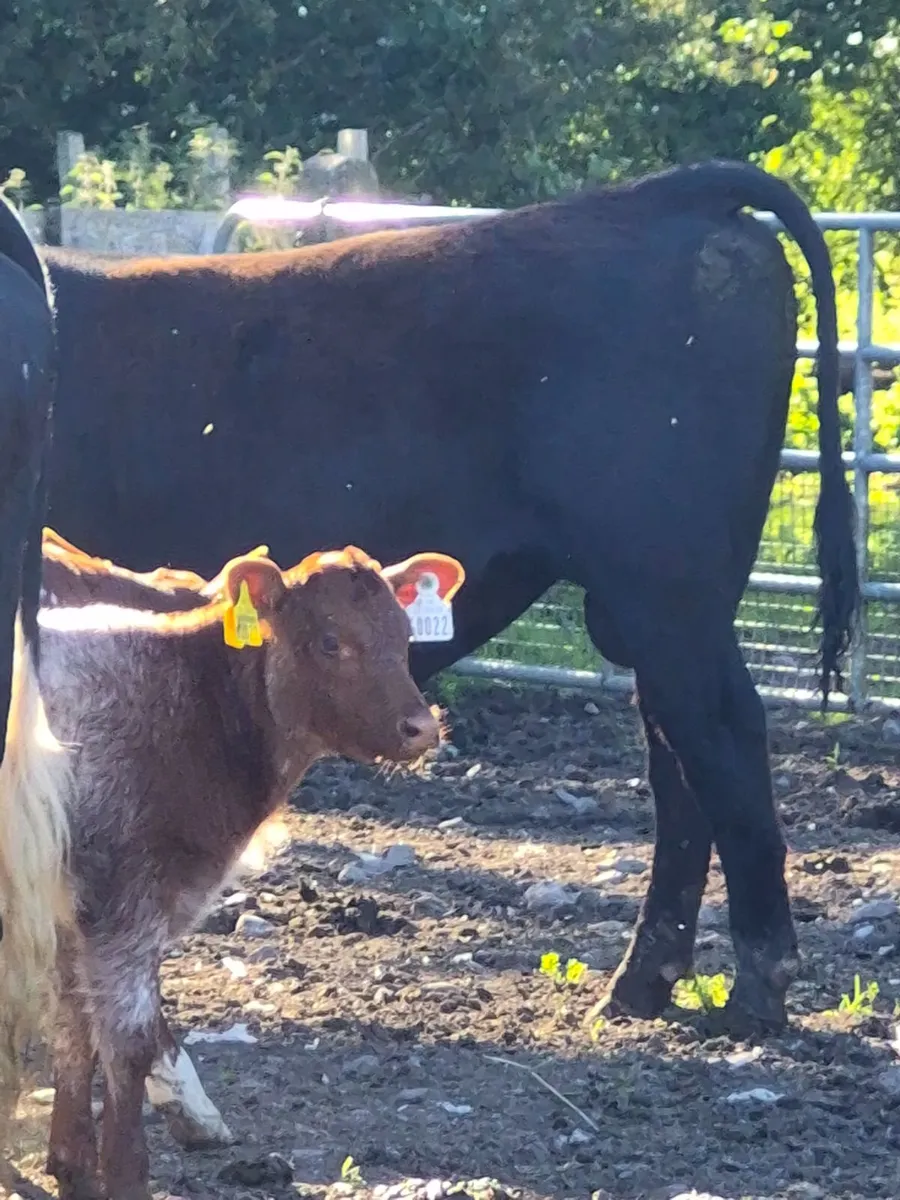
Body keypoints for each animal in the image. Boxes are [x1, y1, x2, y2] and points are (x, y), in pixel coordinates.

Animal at [37, 533, 465, 1200]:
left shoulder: (75, 907)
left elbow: (75, 1022)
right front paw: (123, 1175)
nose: (421, 728)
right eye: (330, 641)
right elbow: (127, 1044)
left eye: (405, 635)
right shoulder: (124, 899)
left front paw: (72, 1165)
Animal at [41, 160, 859, 1033]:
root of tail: (664, 195)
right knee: (679, 755)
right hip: (657, 612)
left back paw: (754, 988)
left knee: (721, 740)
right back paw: (644, 981)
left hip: (669, 591)